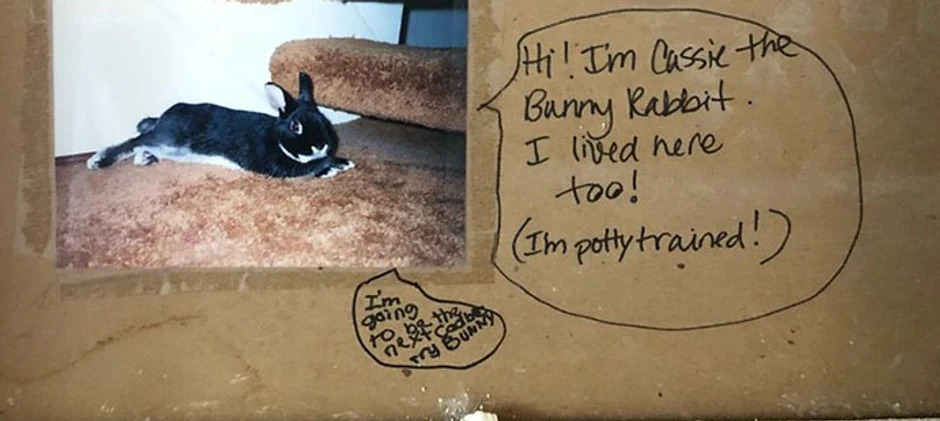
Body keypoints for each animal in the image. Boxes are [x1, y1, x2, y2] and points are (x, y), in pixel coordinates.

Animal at [86, 71, 355, 179]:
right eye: (295, 126)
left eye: (324, 120)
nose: (321, 145)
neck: (277, 140)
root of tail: (165, 115)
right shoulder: (281, 166)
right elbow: (311, 166)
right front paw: (338, 164)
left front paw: (339, 164)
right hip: (170, 138)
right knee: (136, 140)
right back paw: (100, 160)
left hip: (170, 146)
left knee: (144, 143)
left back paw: (144, 159)